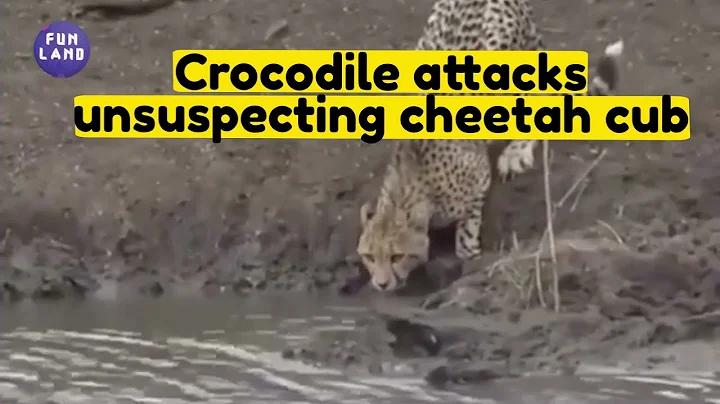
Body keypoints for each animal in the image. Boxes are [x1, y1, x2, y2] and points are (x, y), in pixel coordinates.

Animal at [356, 0, 625, 292]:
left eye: (397, 256)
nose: (381, 283)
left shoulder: (478, 180)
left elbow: (468, 228)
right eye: (369, 256)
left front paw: (468, 254)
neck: (410, 185)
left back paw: (516, 153)